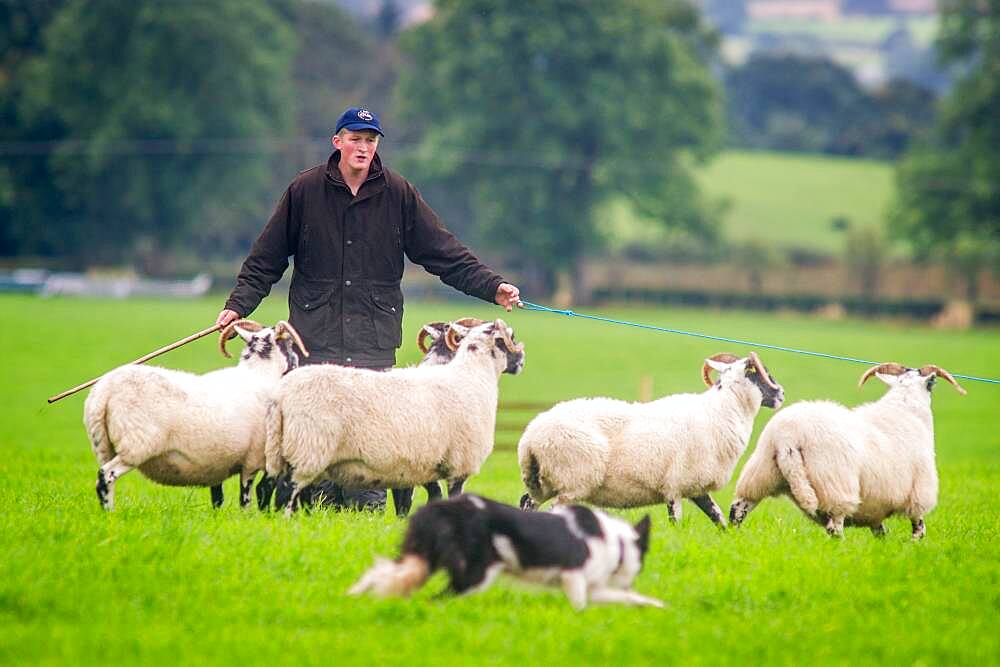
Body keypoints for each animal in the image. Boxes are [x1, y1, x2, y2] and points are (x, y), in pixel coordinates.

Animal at [83, 320, 304, 512]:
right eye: (289, 343)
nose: (299, 363)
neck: (261, 376)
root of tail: (104, 391)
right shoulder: (256, 458)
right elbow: (252, 494)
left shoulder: (218, 463)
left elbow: (218, 498)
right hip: (136, 445)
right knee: (105, 476)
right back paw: (110, 513)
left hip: (103, 445)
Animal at [520, 352, 784, 528]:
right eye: (761, 372)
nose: (781, 393)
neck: (720, 411)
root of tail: (530, 438)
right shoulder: (675, 486)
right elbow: (676, 522)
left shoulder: (696, 487)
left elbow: (718, 518)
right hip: (574, 480)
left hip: (544, 482)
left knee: (527, 502)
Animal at [732, 362, 964, 540]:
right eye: (932, 384)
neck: (906, 409)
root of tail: (787, 436)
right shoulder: (918, 493)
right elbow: (919, 529)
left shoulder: (875, 505)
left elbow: (881, 532)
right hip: (835, 484)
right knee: (835, 527)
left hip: (761, 473)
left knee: (738, 508)